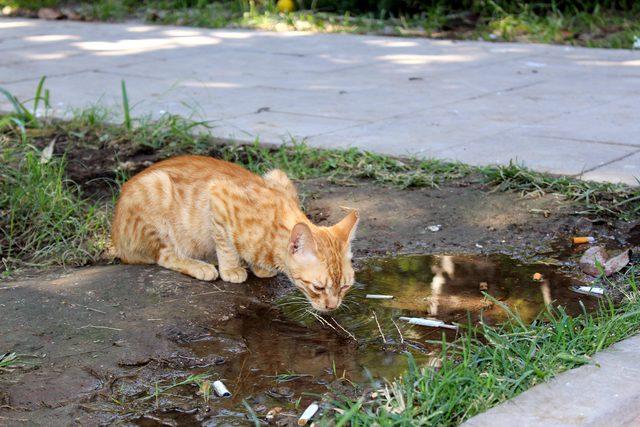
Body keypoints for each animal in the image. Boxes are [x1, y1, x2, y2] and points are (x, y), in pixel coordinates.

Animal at [112, 155, 358, 312]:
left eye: (345, 286)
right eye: (318, 287)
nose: (332, 306)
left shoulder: (277, 175)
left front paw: (259, 268)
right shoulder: (217, 195)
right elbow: (226, 244)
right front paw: (231, 268)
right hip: (157, 187)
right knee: (165, 256)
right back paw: (201, 266)